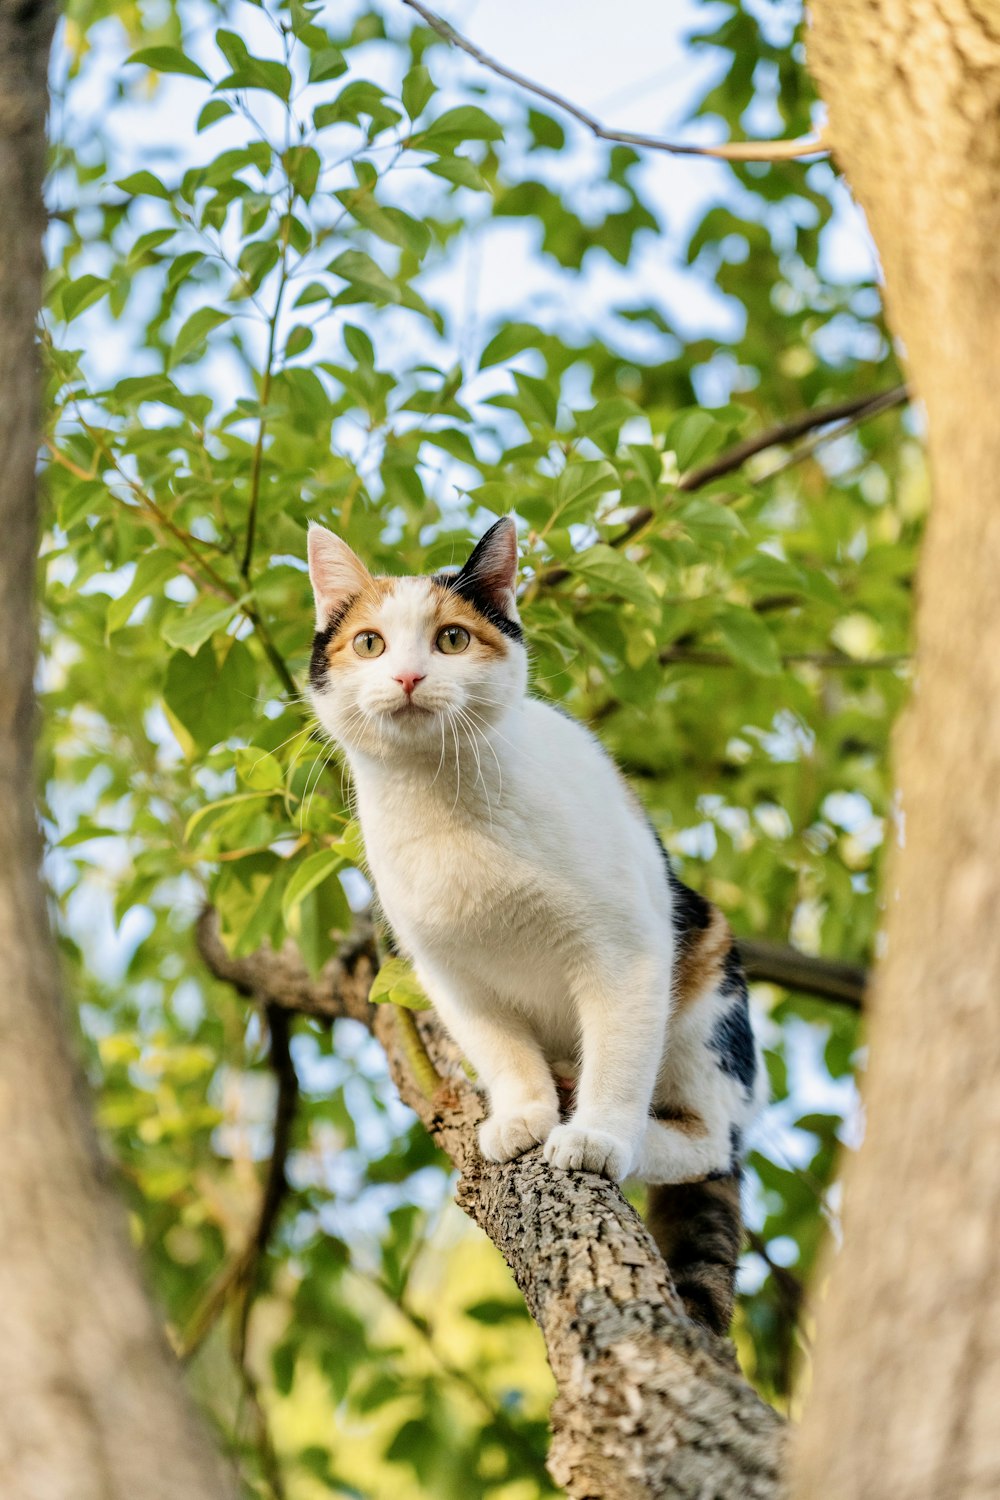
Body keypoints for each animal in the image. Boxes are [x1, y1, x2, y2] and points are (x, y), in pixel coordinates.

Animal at [308, 519, 773, 1338]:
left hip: (709, 971)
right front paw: (524, 1112)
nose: (408, 678)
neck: (442, 795)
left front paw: (598, 1135)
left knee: (711, 1145)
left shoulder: (629, 947)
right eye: (368, 643)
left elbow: (619, 1055)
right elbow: (500, 1048)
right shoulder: (447, 972)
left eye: (452, 639)